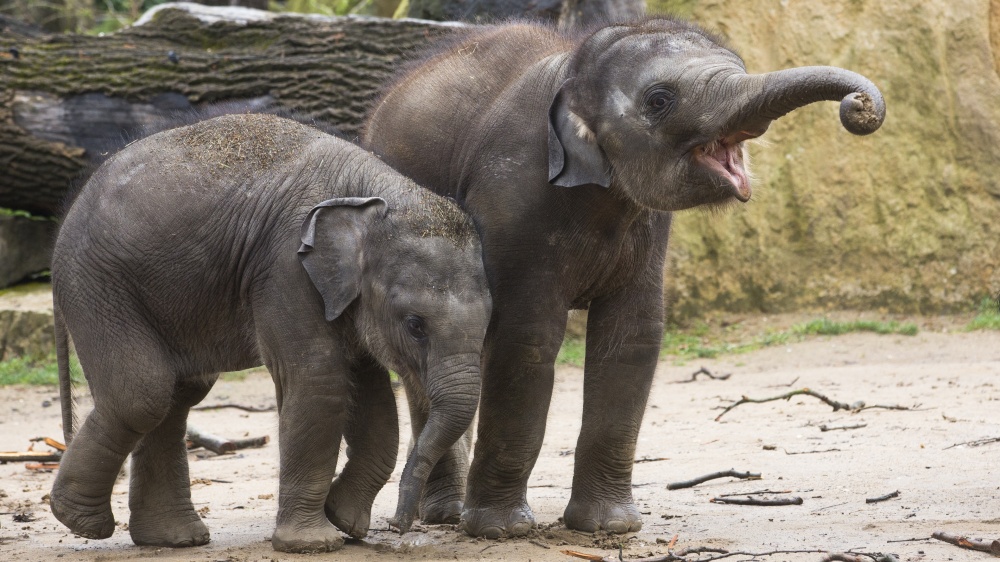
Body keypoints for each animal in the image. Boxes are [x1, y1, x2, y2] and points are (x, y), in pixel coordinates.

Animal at [48, 112, 494, 552]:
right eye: (415, 325)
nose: (400, 526)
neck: (372, 195)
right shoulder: (284, 268)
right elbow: (320, 380)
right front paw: (315, 543)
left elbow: (373, 398)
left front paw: (344, 521)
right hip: (99, 286)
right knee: (142, 394)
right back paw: (82, 522)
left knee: (178, 395)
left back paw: (173, 538)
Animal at [366, 17, 884, 536]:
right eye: (659, 100)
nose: (858, 106)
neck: (573, 71)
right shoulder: (510, 203)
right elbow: (526, 339)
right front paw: (501, 530)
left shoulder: (648, 228)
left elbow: (632, 336)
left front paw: (608, 527)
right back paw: (446, 515)